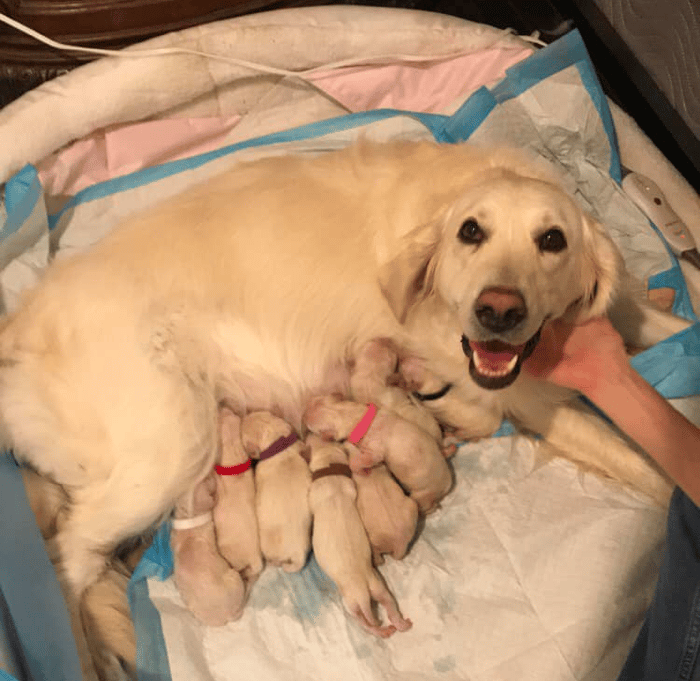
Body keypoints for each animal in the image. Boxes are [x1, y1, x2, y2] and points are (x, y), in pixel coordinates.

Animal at [304, 432, 410, 636]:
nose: (308, 433)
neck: (331, 472)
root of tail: (363, 591)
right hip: (379, 587)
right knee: (389, 606)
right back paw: (399, 625)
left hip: (351, 604)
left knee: (366, 623)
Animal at [306, 394, 454, 510]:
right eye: (313, 400)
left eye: (309, 426)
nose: (303, 414)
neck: (353, 415)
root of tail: (447, 485)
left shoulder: (374, 450)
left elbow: (362, 460)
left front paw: (360, 470)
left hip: (422, 494)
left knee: (427, 505)